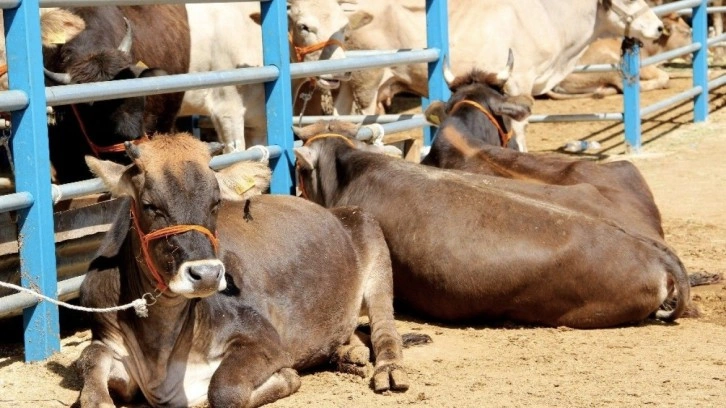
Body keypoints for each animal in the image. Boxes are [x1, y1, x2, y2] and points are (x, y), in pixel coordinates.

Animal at [79, 135, 412, 408]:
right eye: (150, 205)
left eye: (215, 202)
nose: (207, 274)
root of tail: (337, 211)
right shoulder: (108, 338)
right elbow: (90, 364)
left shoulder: (264, 339)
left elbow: (223, 390)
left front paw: (286, 378)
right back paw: (349, 354)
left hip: (375, 254)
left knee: (385, 331)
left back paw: (389, 370)